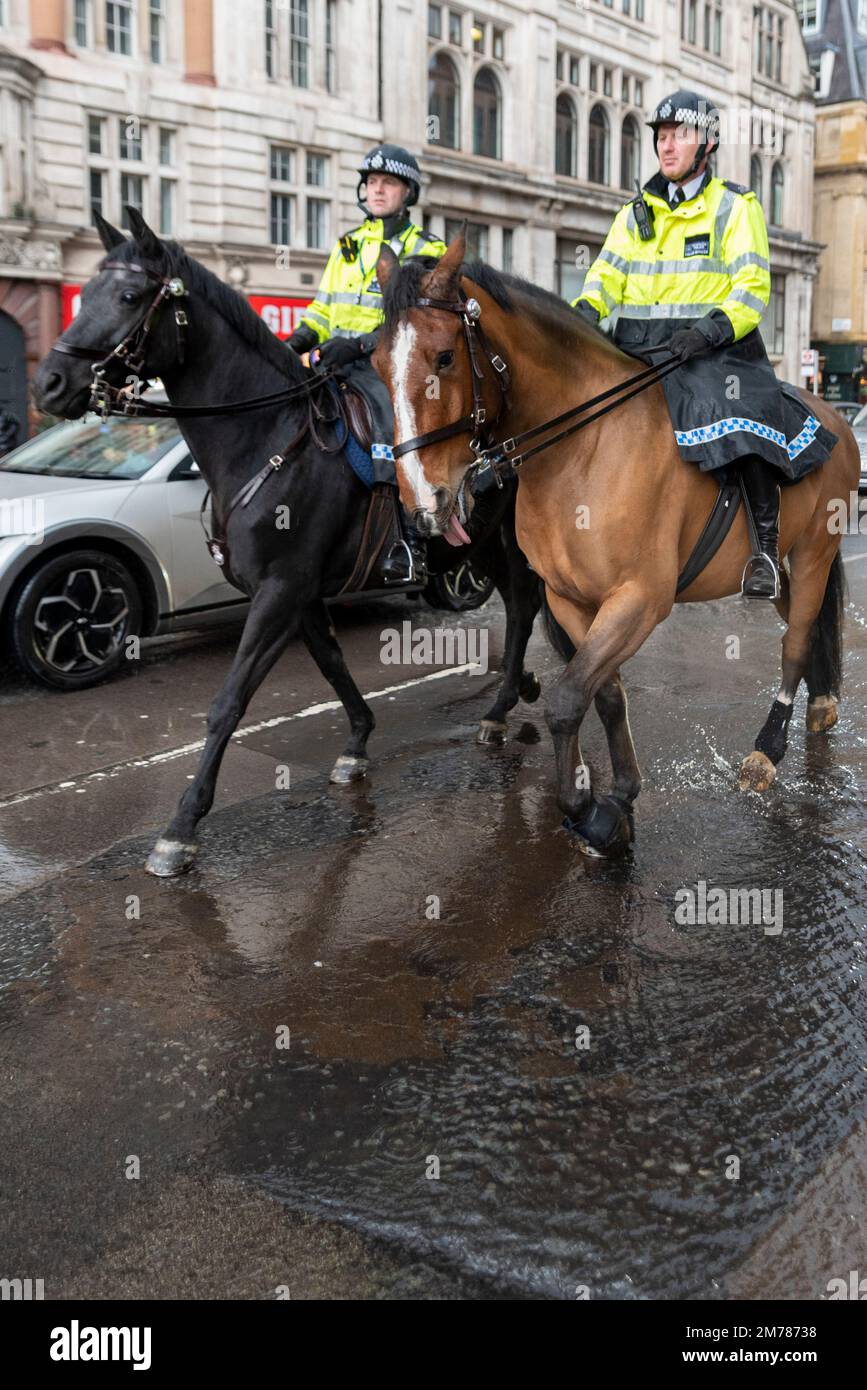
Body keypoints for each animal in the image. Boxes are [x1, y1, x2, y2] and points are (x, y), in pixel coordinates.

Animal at [33, 209, 541, 872]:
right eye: (86, 292)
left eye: (127, 296)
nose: (49, 383)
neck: (267, 438)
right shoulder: (296, 593)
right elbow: (331, 664)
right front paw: (357, 742)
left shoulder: (281, 590)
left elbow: (229, 701)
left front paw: (182, 824)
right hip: (477, 545)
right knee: (520, 605)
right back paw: (517, 690)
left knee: (528, 605)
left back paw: (506, 705)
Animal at [375, 233, 861, 850]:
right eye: (376, 363)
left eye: (443, 357)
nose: (423, 503)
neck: (583, 450)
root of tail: (837, 421)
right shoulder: (571, 600)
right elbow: (604, 695)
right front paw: (620, 796)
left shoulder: (639, 600)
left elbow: (566, 699)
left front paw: (587, 810)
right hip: (788, 567)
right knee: (806, 618)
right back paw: (821, 702)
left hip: (818, 550)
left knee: (794, 643)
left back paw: (767, 750)